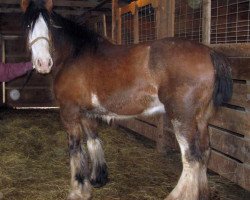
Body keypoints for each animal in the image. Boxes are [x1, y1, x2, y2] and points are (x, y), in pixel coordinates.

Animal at [21, 0, 232, 199]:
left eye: (49, 25)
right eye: (28, 25)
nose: (43, 63)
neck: (74, 54)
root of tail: (209, 52)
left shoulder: (69, 111)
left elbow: (75, 148)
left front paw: (78, 190)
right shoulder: (87, 113)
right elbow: (93, 141)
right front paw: (97, 179)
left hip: (182, 118)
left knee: (191, 158)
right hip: (201, 119)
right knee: (204, 153)